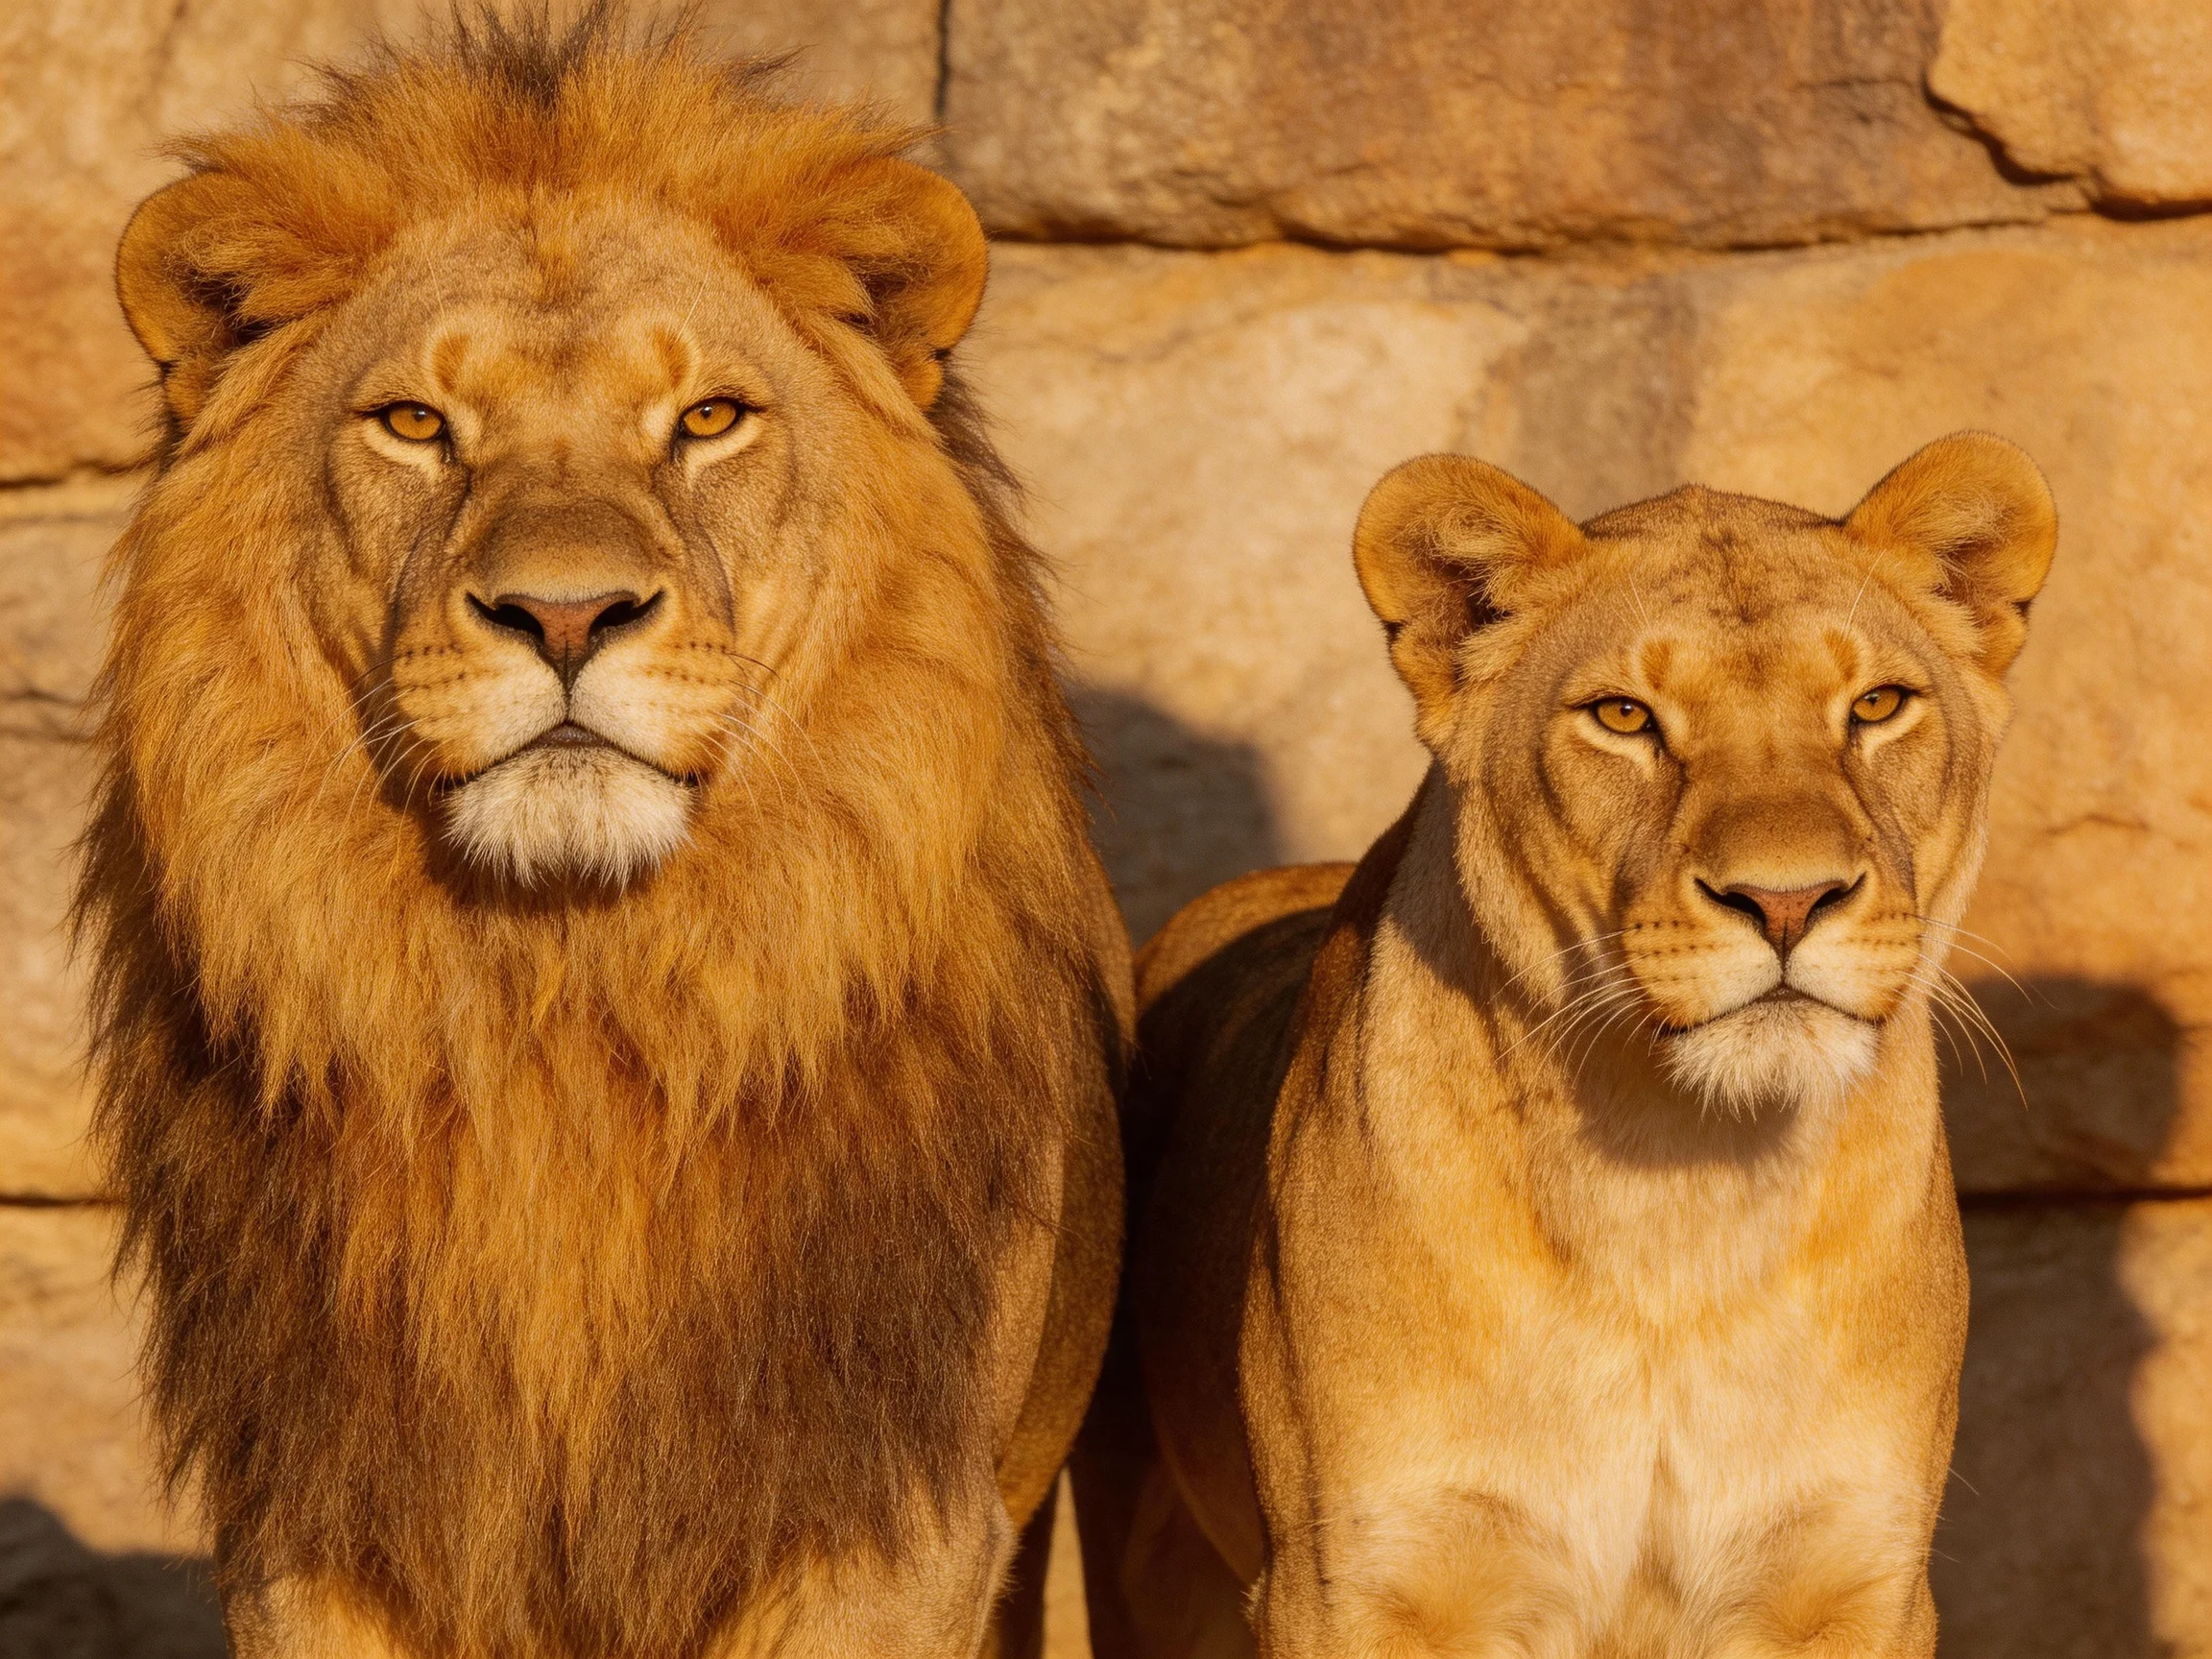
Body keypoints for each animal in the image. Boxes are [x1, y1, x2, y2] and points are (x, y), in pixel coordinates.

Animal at [76, 13, 1127, 1658]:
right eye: (416, 425)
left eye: (707, 419)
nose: (566, 613)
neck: (565, 1003)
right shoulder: (315, 1525)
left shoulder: (884, 1521)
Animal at [1070, 435, 2057, 1657]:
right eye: (1624, 716)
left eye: (1877, 704)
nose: (1787, 901)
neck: (1680, 1186)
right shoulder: (1355, 1582)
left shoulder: (1847, 1580)